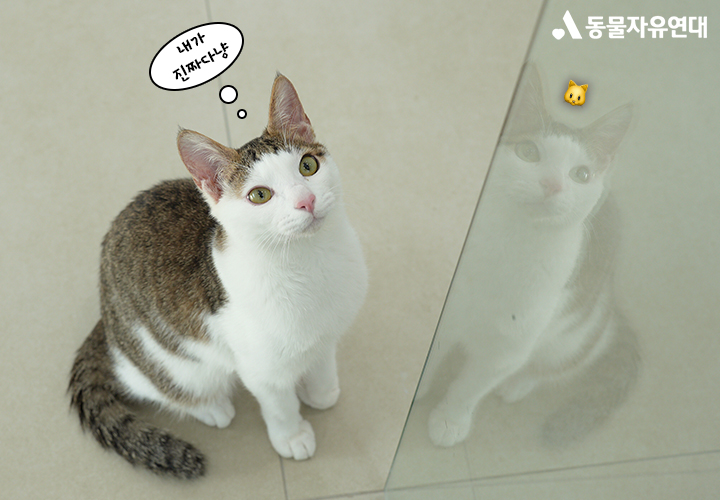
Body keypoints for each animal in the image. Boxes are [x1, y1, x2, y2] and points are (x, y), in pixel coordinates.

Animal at [68, 74, 368, 478]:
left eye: (308, 166)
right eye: (260, 195)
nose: (306, 201)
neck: (310, 262)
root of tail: (106, 316)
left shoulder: (325, 331)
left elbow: (320, 360)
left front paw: (320, 391)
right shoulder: (260, 366)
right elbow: (278, 402)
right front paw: (291, 435)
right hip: (173, 363)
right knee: (155, 384)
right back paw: (212, 407)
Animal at [421, 64, 637, 447]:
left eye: (581, 174)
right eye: (527, 152)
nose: (552, 185)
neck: (512, 241)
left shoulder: (509, 345)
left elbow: (473, 384)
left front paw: (450, 419)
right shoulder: (449, 312)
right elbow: (435, 352)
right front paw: (419, 387)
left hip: (574, 331)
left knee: (560, 362)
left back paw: (518, 384)